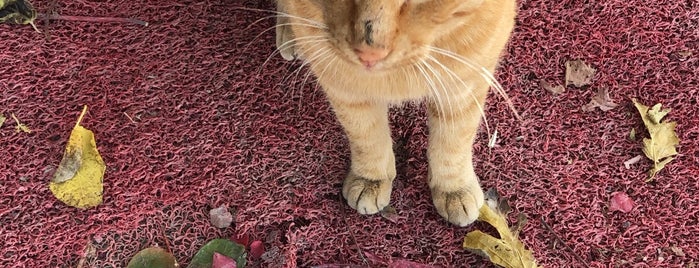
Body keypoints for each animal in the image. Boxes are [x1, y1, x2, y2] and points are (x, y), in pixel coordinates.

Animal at [276, 0, 516, 226]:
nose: (369, 53)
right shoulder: (342, 83)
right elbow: (366, 135)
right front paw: (371, 179)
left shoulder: (465, 84)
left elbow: (453, 143)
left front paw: (454, 189)